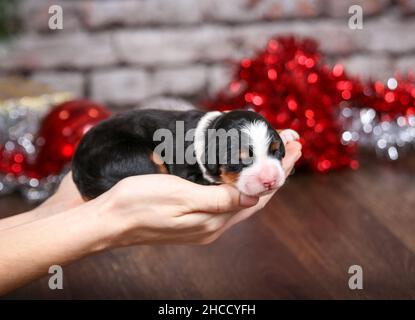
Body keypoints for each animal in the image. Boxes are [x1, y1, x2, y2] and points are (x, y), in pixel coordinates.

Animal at [71, 110, 300, 200]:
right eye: (239, 160)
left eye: (275, 151)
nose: (270, 181)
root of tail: (78, 170)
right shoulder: (189, 173)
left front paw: (286, 133)